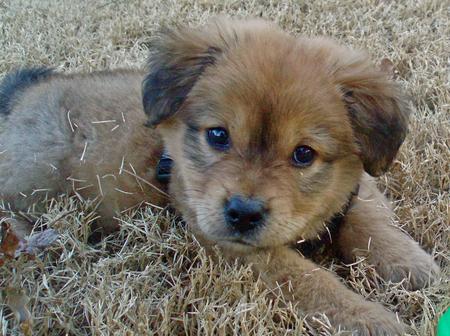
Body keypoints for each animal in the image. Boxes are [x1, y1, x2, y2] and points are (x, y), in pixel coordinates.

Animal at [0, 18, 440, 334]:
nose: (243, 213)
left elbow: (371, 221)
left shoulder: (356, 188)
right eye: (218, 135)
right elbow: (311, 282)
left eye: (303, 154)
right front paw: (372, 319)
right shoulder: (239, 248)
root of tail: (20, 99)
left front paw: (414, 267)